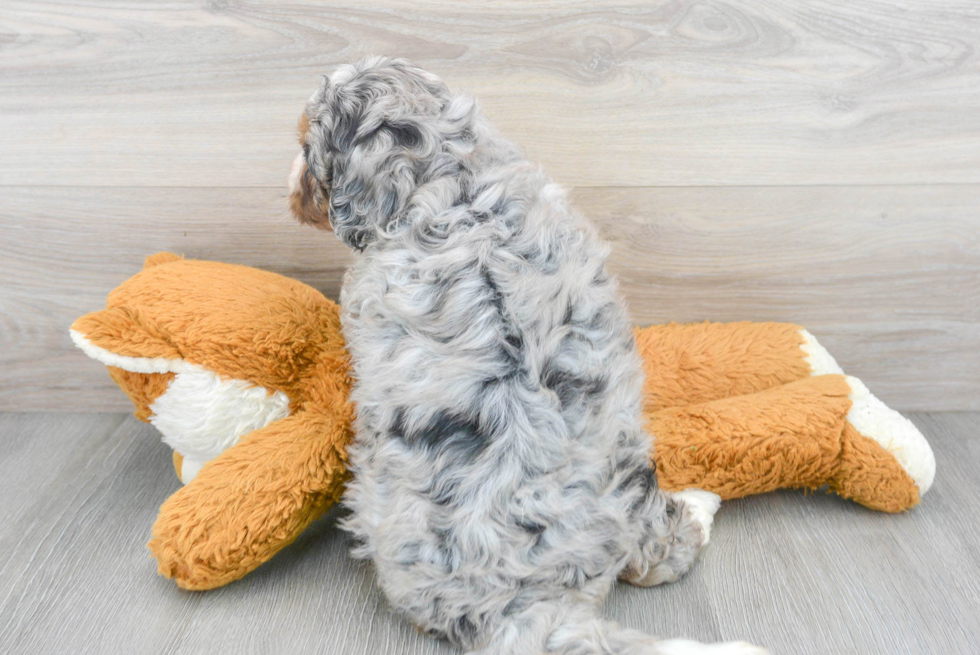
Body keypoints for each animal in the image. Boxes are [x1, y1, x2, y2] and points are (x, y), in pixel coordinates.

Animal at [288, 56, 760, 655]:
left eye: (307, 146)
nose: (293, 191)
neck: (452, 182)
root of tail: (525, 604)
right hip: (629, 467)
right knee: (656, 550)